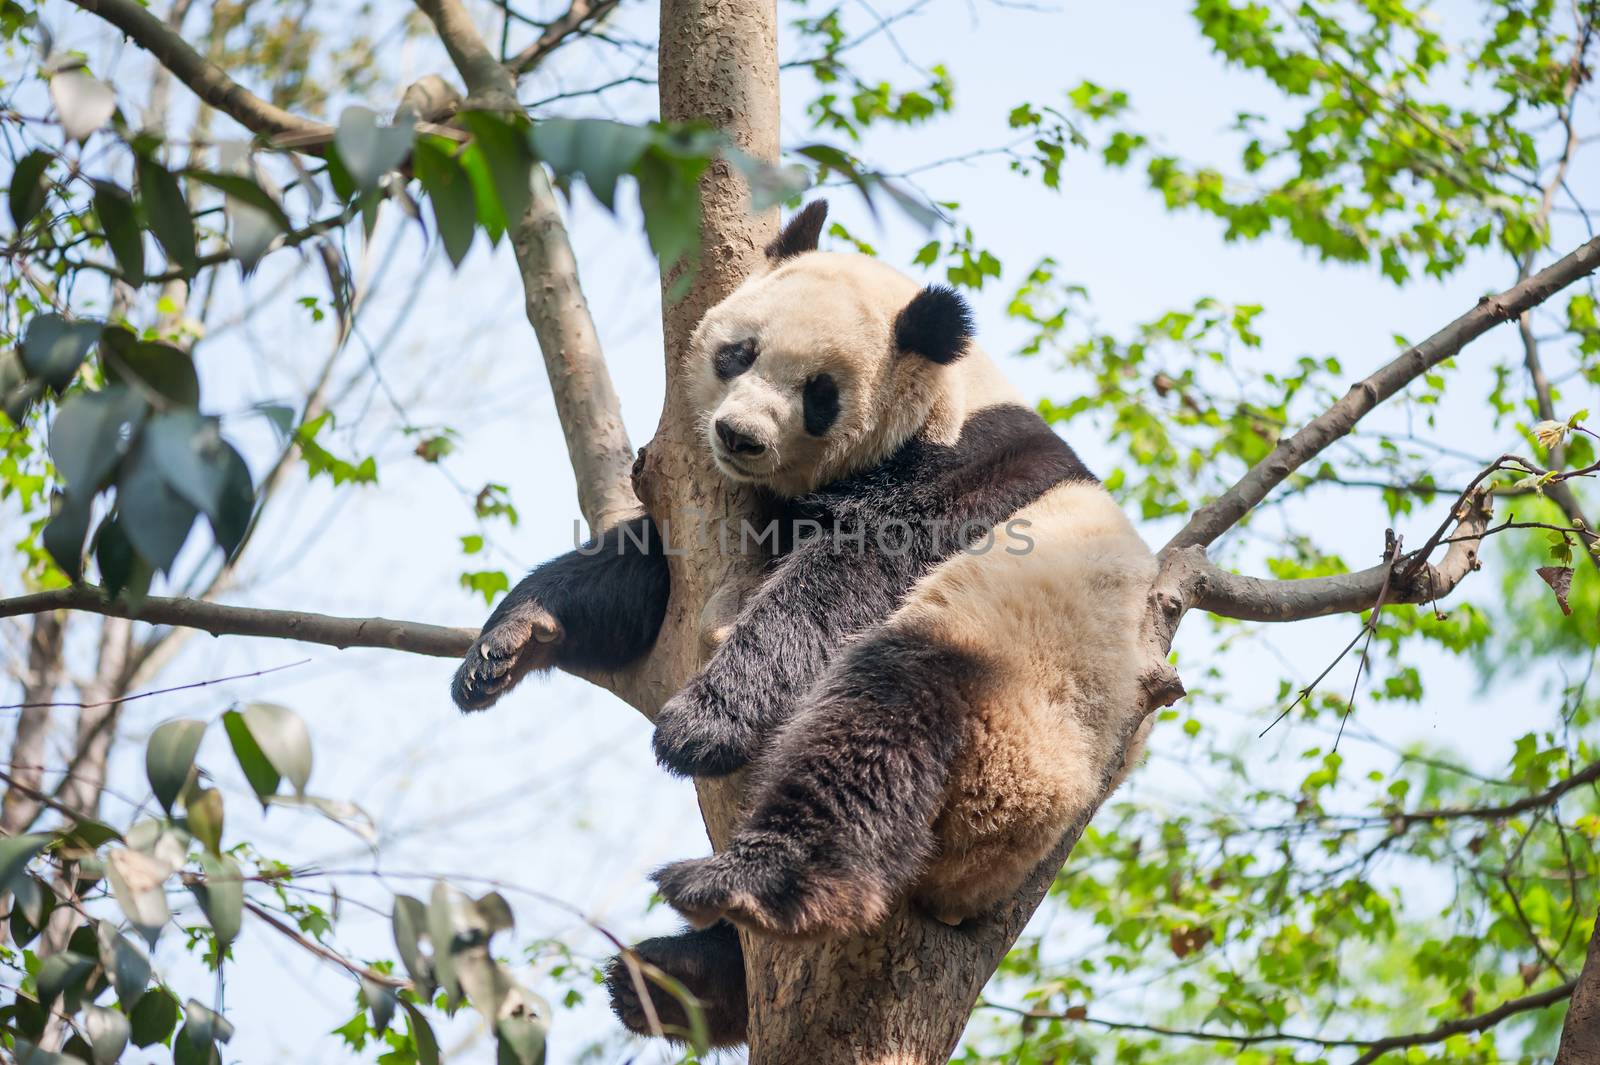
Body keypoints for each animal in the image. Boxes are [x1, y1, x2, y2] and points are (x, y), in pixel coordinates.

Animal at [457, 201, 1158, 1042]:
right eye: (739, 352)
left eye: (818, 393)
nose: (739, 436)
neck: (948, 399)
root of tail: (966, 885)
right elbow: (644, 579)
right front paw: (508, 644)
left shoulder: (959, 481)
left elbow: (840, 584)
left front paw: (704, 722)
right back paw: (678, 981)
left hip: (1013, 717)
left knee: (878, 724)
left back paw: (748, 886)